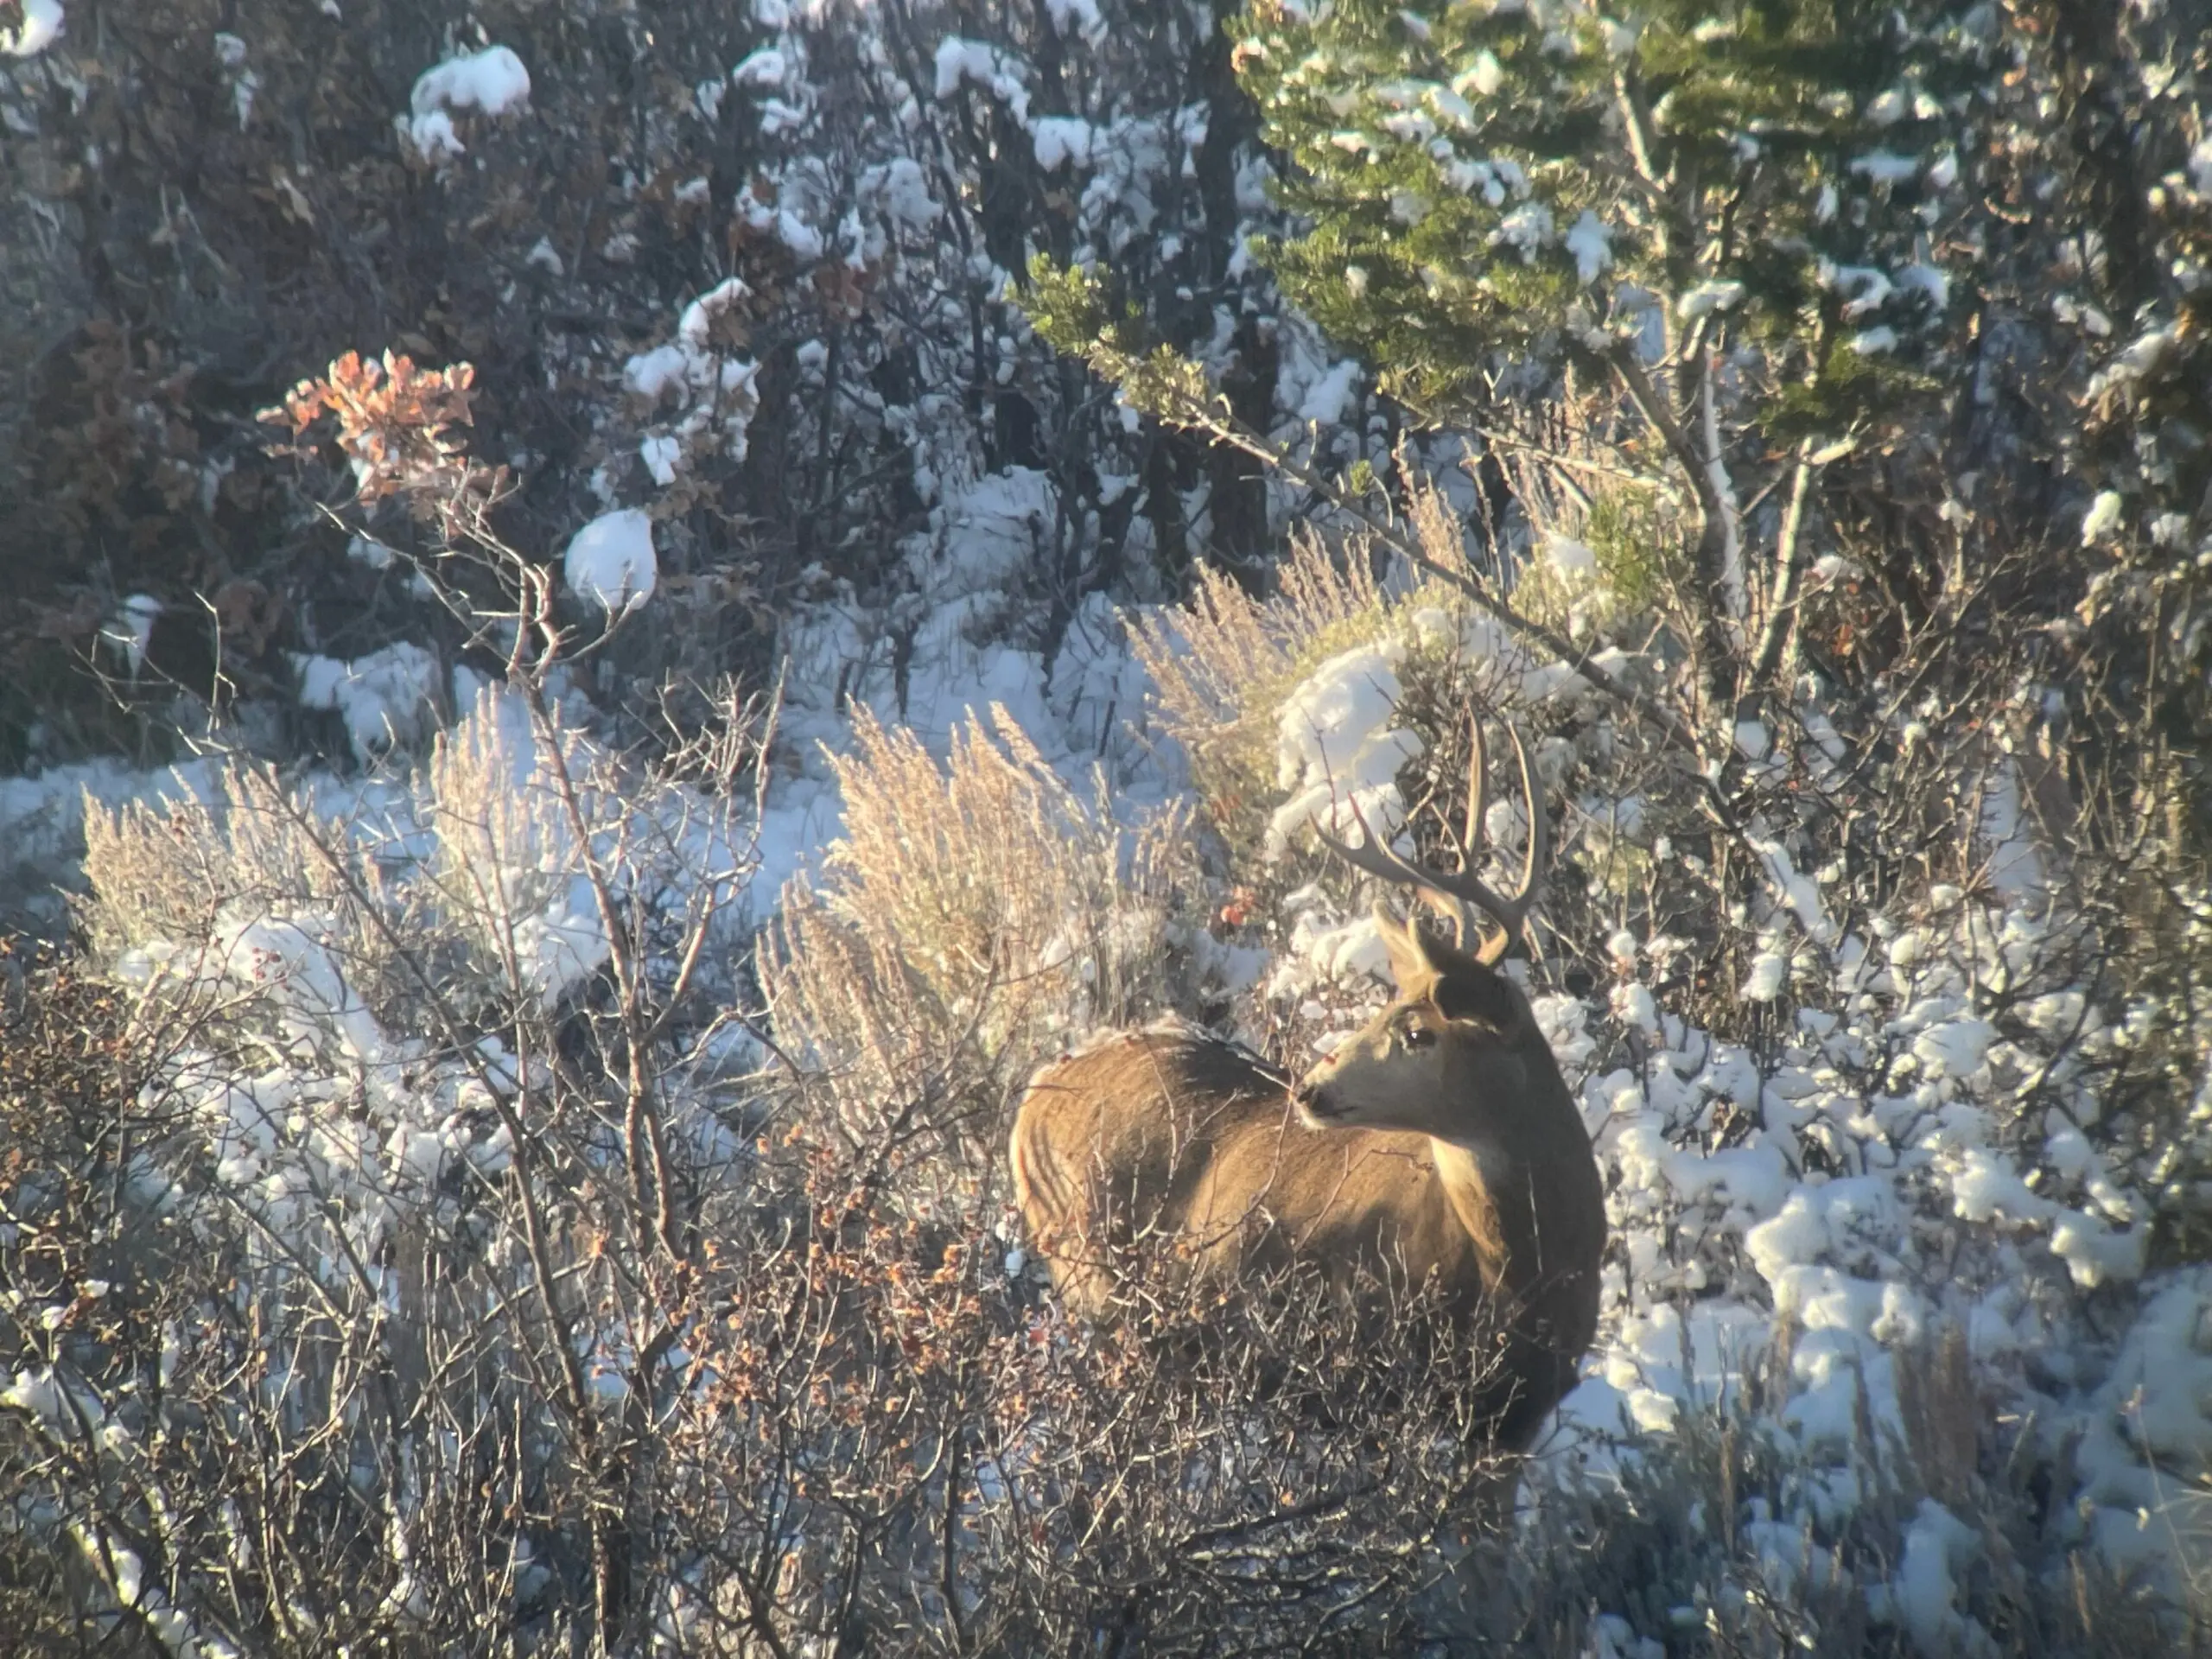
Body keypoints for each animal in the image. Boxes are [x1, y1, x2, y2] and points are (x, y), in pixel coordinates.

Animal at [1008, 725, 1610, 1451]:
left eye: (1417, 1031)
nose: (1310, 1088)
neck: (1524, 1275)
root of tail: (1034, 1091)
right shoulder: (1377, 1386)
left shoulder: (1519, 1418)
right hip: (1094, 1286)